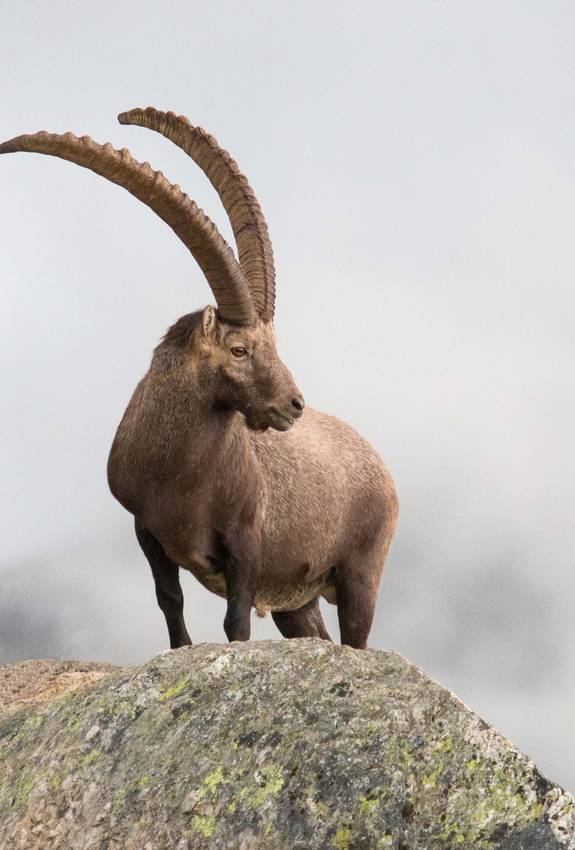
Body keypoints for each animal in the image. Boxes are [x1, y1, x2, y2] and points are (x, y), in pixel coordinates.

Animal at [0, 107, 398, 649]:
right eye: (240, 349)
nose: (293, 404)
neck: (182, 477)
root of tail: (382, 468)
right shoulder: (147, 532)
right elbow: (170, 602)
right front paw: (181, 649)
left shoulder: (246, 540)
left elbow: (236, 622)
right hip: (297, 598)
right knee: (313, 635)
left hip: (361, 572)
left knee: (356, 639)